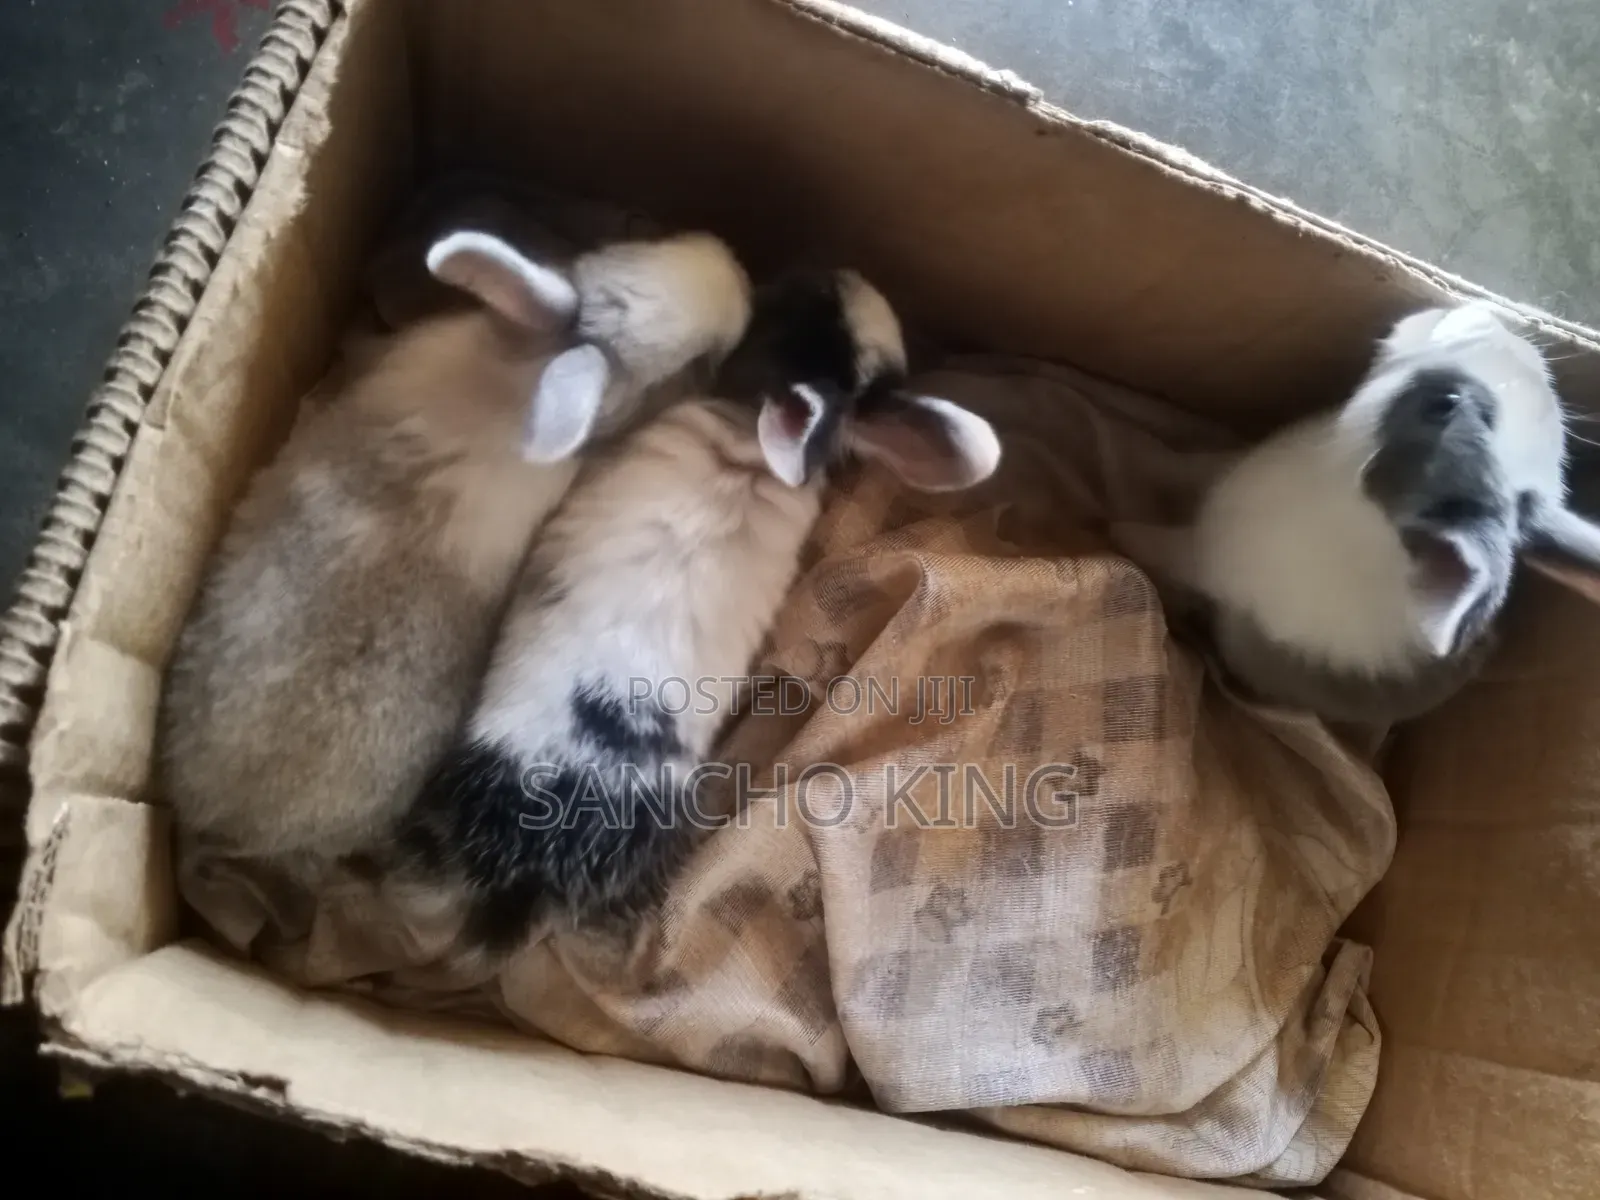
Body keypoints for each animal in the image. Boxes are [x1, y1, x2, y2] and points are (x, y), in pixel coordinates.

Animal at [1114, 300, 1600, 725]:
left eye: (1446, 403)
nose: (1493, 313)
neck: (1338, 471)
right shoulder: (1225, 468)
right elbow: (1187, 462)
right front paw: (1143, 449)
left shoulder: (1205, 560)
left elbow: (1157, 541)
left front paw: (1114, 521)